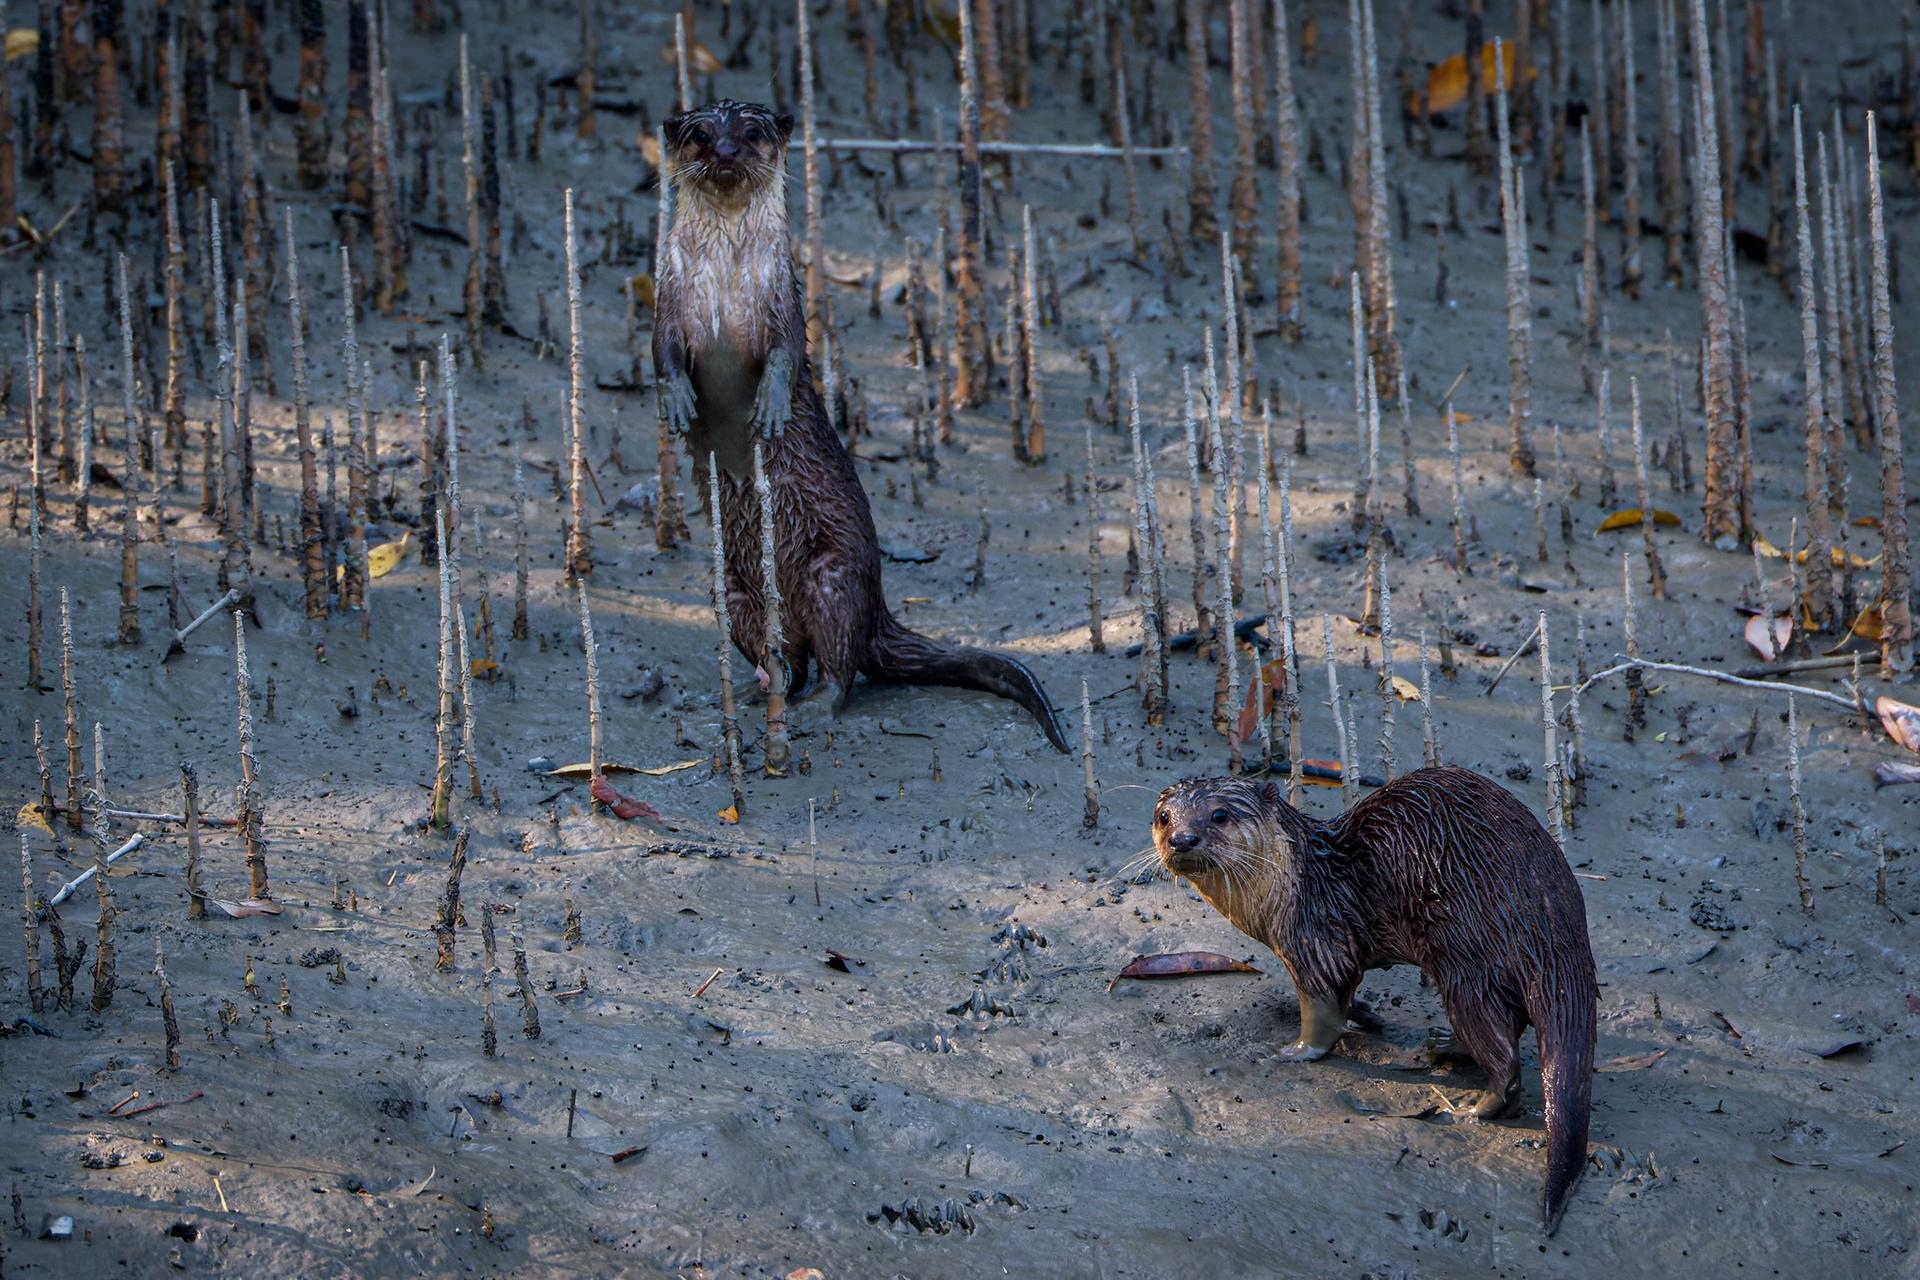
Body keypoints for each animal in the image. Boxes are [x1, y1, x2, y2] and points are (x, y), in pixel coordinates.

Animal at [645, 107, 1067, 759]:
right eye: (699, 135)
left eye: (751, 132)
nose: (725, 151)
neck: (727, 282)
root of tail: (878, 613)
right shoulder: (669, 299)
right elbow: (662, 353)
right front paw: (679, 402)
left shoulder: (782, 304)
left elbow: (785, 356)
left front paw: (770, 408)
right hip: (734, 594)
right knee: (788, 656)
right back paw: (761, 692)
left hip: (834, 578)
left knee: (840, 665)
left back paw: (812, 707)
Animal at [1144, 767, 1597, 1235]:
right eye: (1164, 816)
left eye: (1219, 814)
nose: (1182, 838)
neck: (1289, 887)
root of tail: (1551, 923)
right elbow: (1349, 999)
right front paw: (1366, 1017)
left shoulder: (1316, 942)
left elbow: (1323, 1008)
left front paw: (1296, 1050)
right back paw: (1444, 1047)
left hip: (1467, 962)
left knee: (1504, 1055)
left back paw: (1470, 1108)